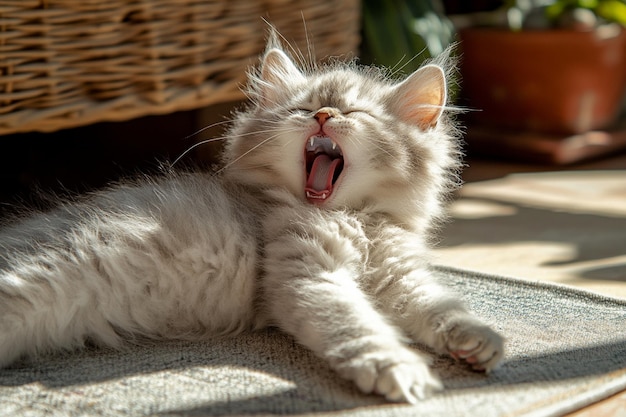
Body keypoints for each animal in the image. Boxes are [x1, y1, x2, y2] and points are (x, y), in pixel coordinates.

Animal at [0, 36, 500, 404]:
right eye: (303, 109)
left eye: (355, 112)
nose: (323, 115)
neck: (355, 218)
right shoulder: (305, 275)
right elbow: (356, 325)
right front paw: (396, 368)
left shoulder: (401, 274)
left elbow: (439, 305)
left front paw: (477, 340)